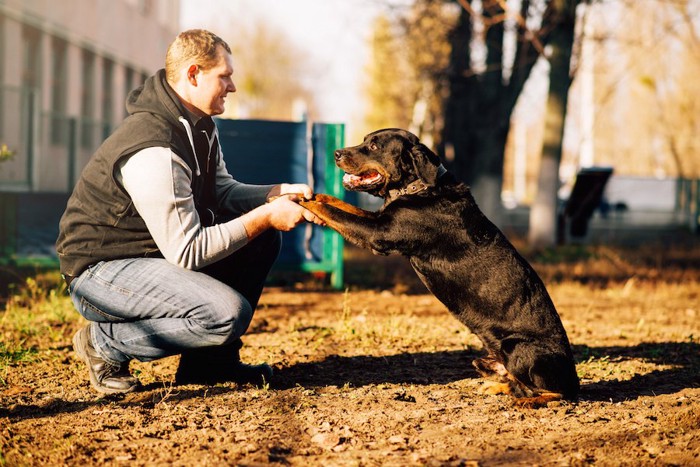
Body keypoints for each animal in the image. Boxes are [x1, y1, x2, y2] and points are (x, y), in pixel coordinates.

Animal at [300, 128, 580, 406]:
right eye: (364, 141)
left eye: (375, 147)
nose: (337, 153)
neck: (419, 187)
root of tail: (574, 380)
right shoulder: (381, 220)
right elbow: (342, 206)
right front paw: (314, 194)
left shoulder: (378, 233)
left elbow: (337, 213)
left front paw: (302, 201)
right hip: (484, 360)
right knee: (519, 384)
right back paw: (496, 388)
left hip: (517, 347)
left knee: (555, 394)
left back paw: (527, 401)